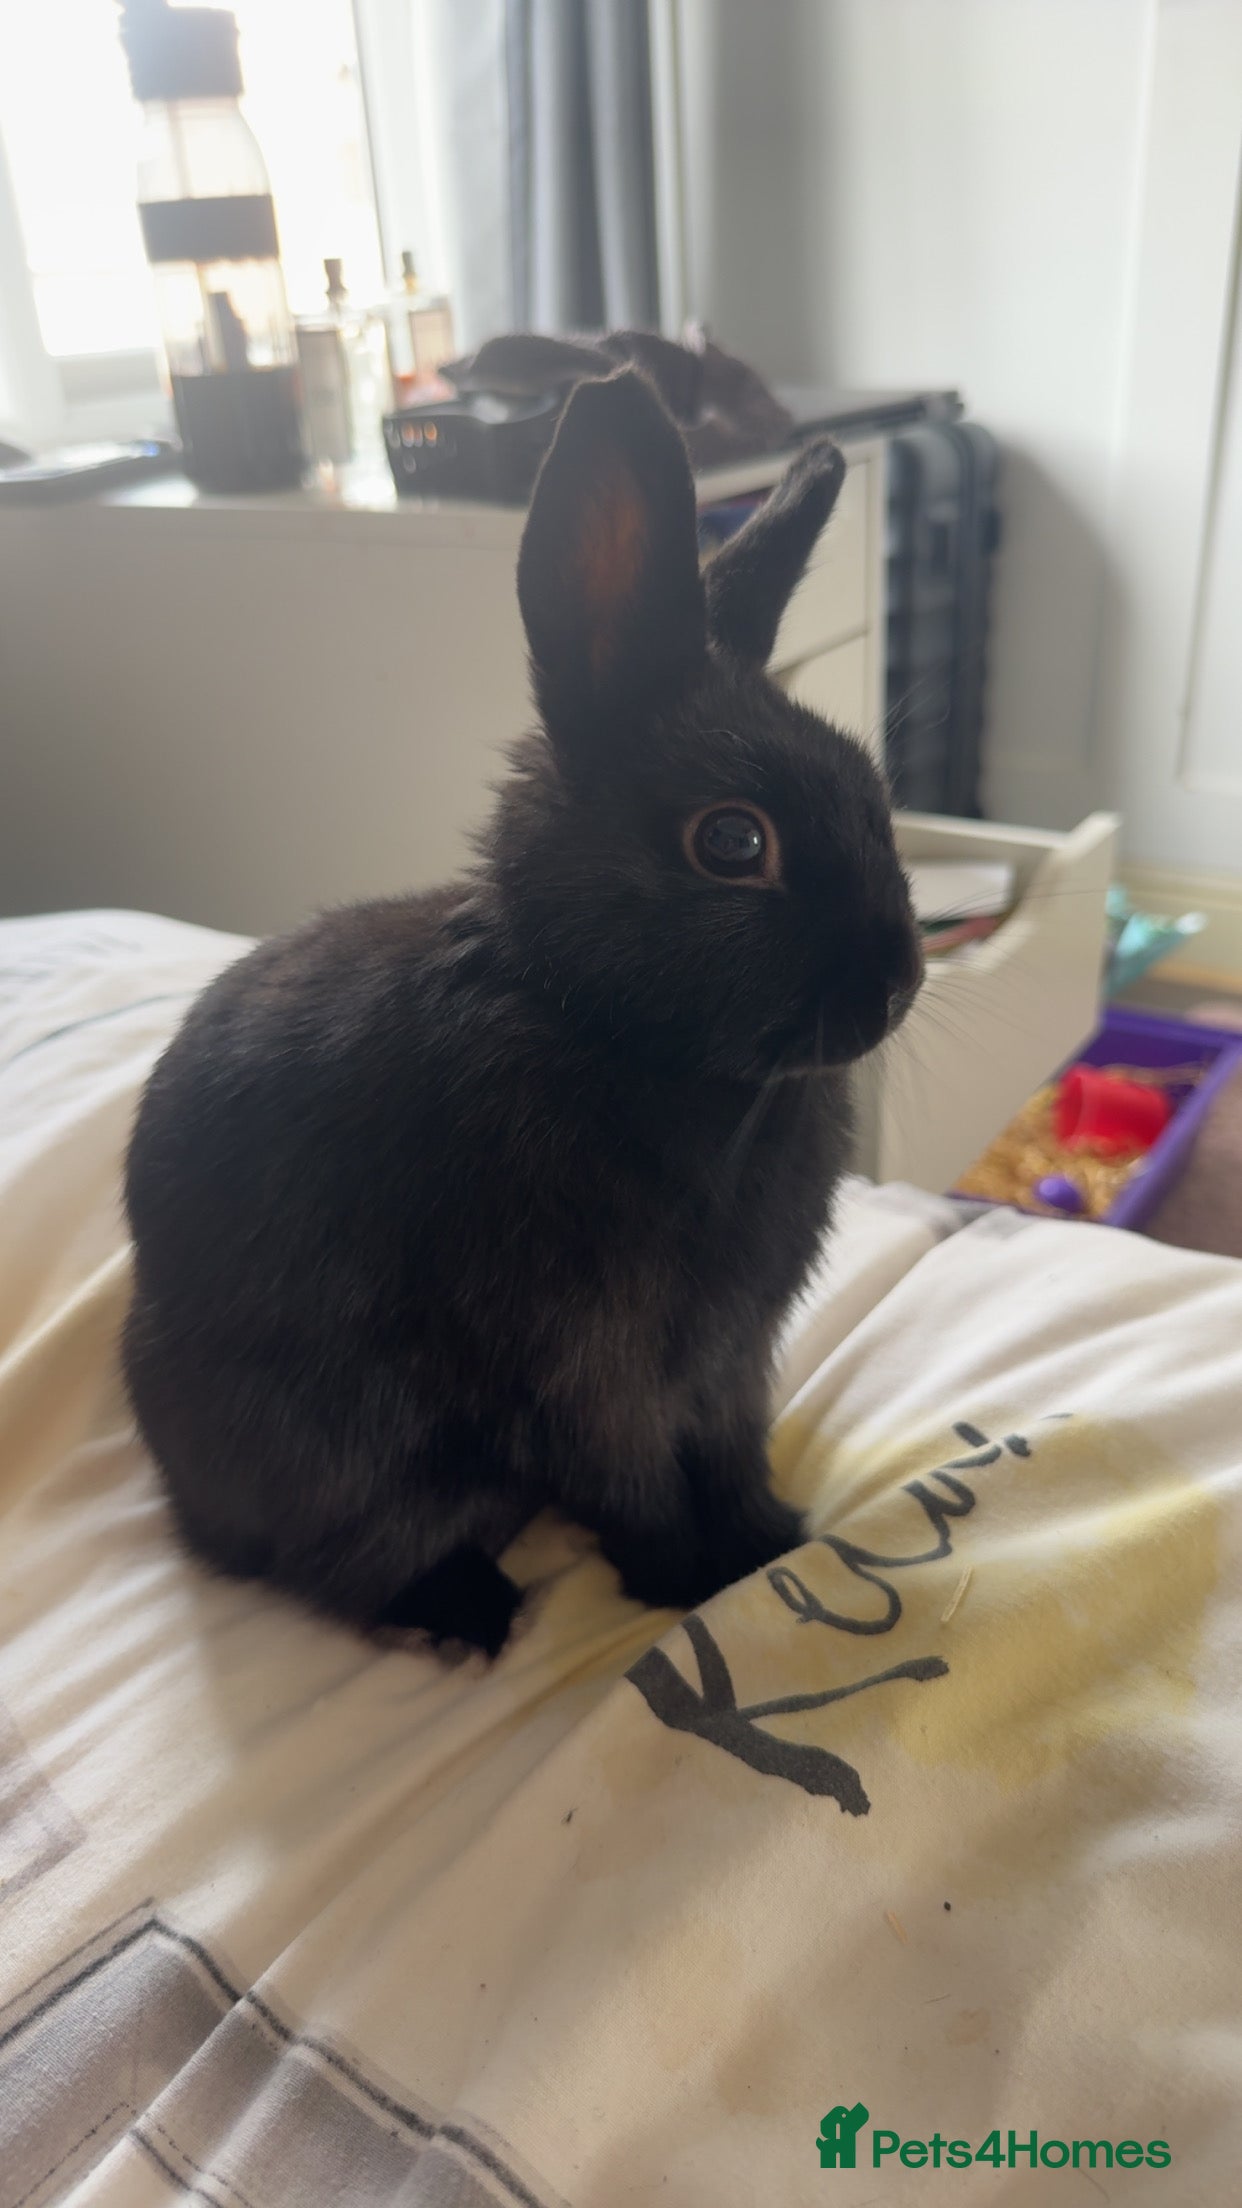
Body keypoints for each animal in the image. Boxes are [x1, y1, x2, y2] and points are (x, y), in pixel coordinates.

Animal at [122, 367, 922, 1659]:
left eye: (875, 800)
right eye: (732, 841)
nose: (898, 981)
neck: (598, 1023)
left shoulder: (729, 1356)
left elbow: (729, 1447)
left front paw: (767, 1541)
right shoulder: (585, 1360)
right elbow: (632, 1476)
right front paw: (692, 1578)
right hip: (322, 1454)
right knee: (321, 1562)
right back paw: (465, 1609)